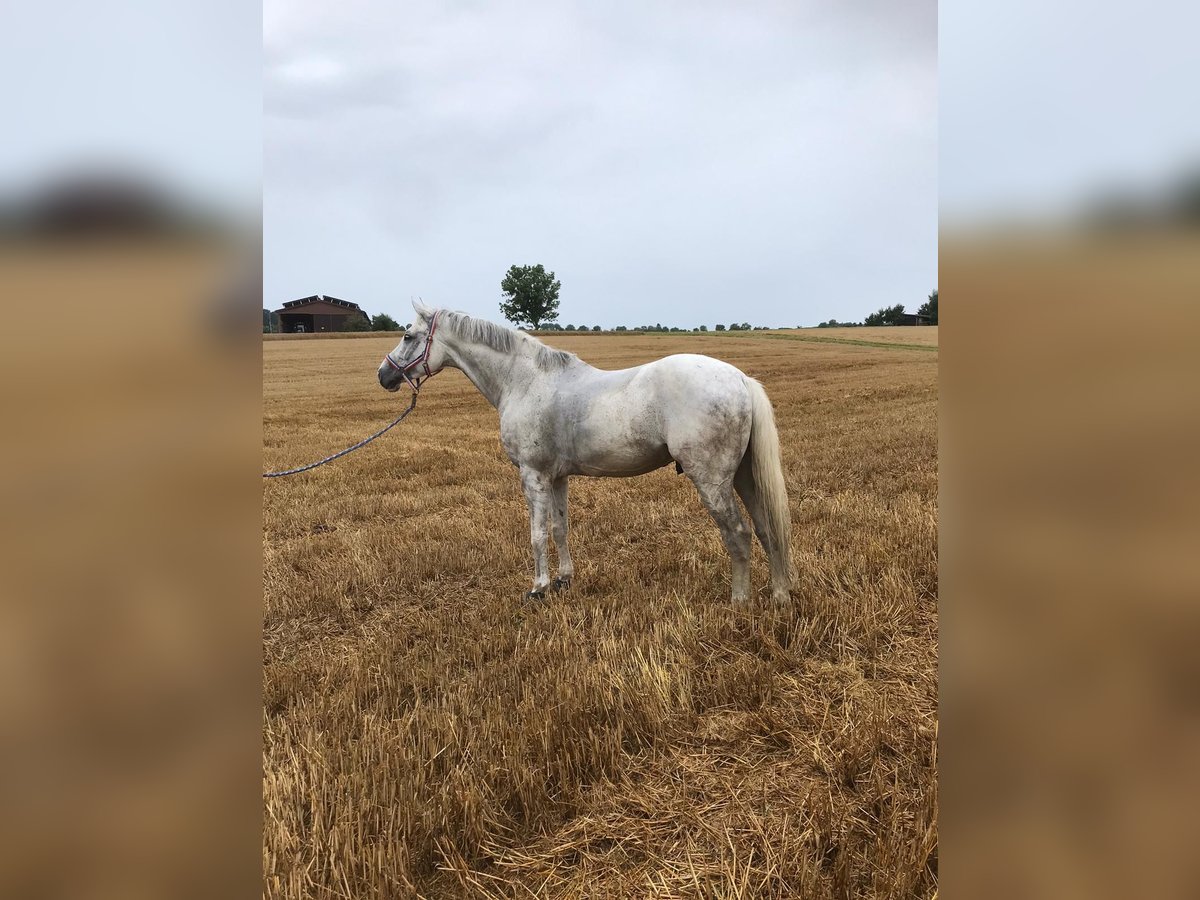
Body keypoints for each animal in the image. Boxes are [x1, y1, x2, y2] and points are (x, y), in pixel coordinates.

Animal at [379, 303, 792, 607]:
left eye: (408, 335)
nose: (384, 375)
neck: (524, 381)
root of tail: (739, 379)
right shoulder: (557, 477)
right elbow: (560, 528)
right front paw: (564, 580)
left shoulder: (533, 475)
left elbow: (537, 533)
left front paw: (538, 588)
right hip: (744, 476)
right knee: (766, 529)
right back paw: (780, 595)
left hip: (712, 481)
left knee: (737, 534)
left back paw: (739, 601)